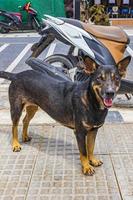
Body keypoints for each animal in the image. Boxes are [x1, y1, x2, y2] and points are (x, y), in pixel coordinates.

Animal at [0, 55, 130, 175]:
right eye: (99, 78)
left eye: (116, 78)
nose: (110, 93)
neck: (91, 100)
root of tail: (16, 75)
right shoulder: (80, 132)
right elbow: (84, 152)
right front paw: (86, 167)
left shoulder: (93, 130)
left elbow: (91, 147)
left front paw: (92, 160)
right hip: (16, 108)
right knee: (14, 126)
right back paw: (16, 144)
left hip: (33, 107)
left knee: (25, 120)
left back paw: (25, 136)